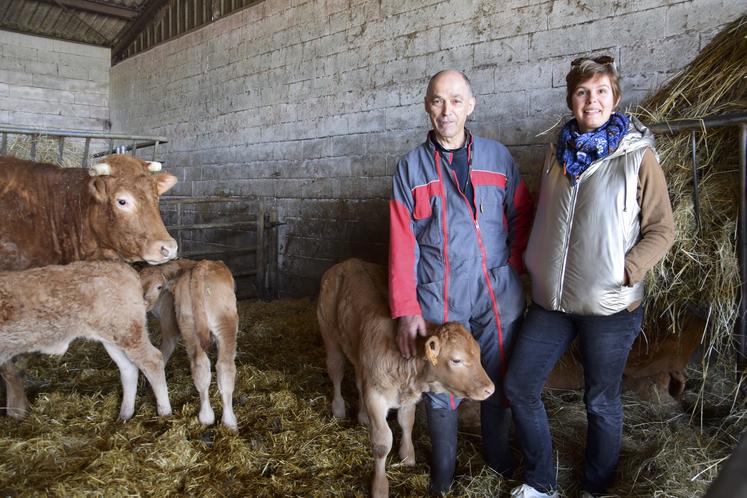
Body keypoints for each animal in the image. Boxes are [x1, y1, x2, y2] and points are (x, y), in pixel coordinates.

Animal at [0, 260, 171, 420]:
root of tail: (122, 267)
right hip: (112, 336)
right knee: (128, 368)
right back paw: (124, 415)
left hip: (128, 331)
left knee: (152, 360)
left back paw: (164, 412)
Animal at [137, 258, 237, 430]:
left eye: (158, 286)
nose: (143, 304)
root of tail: (200, 266)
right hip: (226, 323)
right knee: (225, 367)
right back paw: (229, 422)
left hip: (189, 324)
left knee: (201, 366)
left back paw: (207, 418)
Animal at [318, 258, 496, 498]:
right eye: (456, 360)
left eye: (477, 354)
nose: (490, 389)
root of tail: (347, 262)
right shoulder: (376, 395)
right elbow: (382, 442)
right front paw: (380, 486)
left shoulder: (409, 395)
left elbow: (407, 422)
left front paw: (408, 455)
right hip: (329, 334)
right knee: (336, 371)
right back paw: (338, 409)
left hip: (358, 354)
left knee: (357, 379)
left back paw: (363, 416)